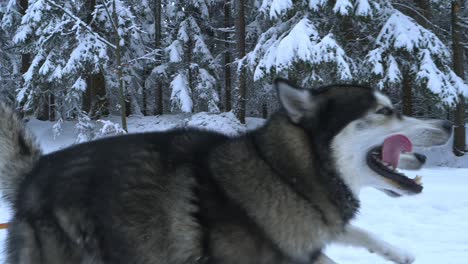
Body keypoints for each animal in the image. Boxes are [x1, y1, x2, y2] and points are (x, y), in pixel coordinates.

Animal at [0, 79, 454, 264]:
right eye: (383, 112)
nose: (449, 124)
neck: (283, 175)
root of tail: (35, 172)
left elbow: (349, 235)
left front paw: (397, 252)